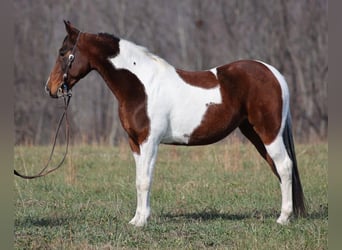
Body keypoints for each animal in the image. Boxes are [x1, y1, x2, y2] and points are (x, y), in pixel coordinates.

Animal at [44, 21, 304, 227]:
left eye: (62, 52)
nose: (50, 88)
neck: (141, 86)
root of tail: (274, 73)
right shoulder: (135, 143)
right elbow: (139, 179)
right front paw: (137, 219)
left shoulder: (149, 141)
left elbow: (145, 180)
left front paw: (142, 222)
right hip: (256, 134)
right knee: (278, 167)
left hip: (268, 133)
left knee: (284, 166)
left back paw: (283, 218)